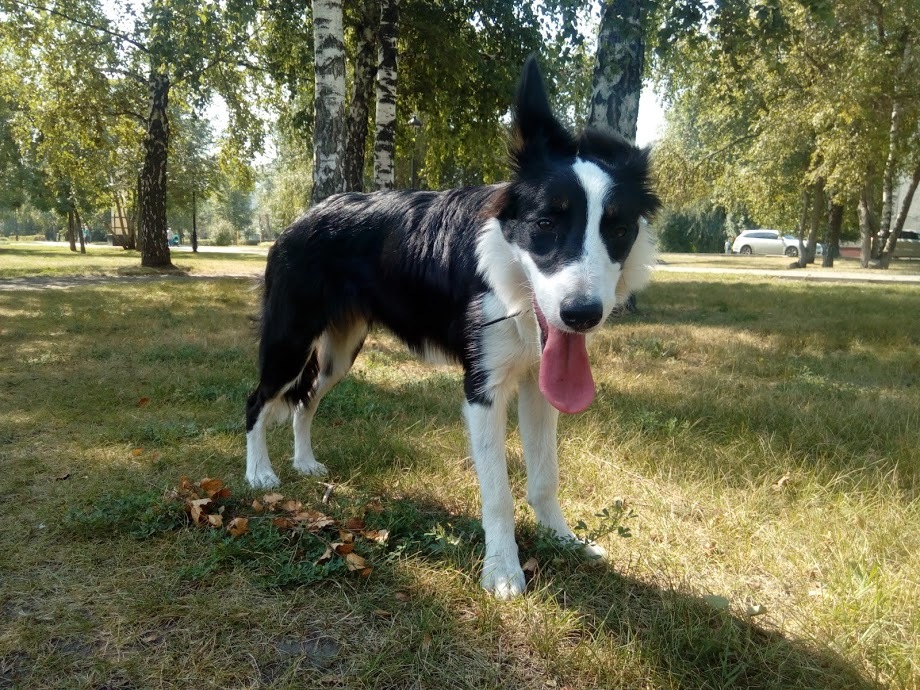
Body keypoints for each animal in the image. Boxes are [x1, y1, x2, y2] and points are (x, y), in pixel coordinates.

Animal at [246, 57, 660, 596]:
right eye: (546, 224)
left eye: (618, 229)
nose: (581, 315)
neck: (506, 273)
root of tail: (302, 218)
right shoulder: (483, 388)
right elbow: (499, 491)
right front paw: (502, 571)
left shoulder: (537, 382)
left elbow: (545, 476)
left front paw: (562, 539)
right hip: (290, 339)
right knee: (258, 400)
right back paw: (260, 474)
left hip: (340, 350)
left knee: (305, 400)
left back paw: (304, 464)